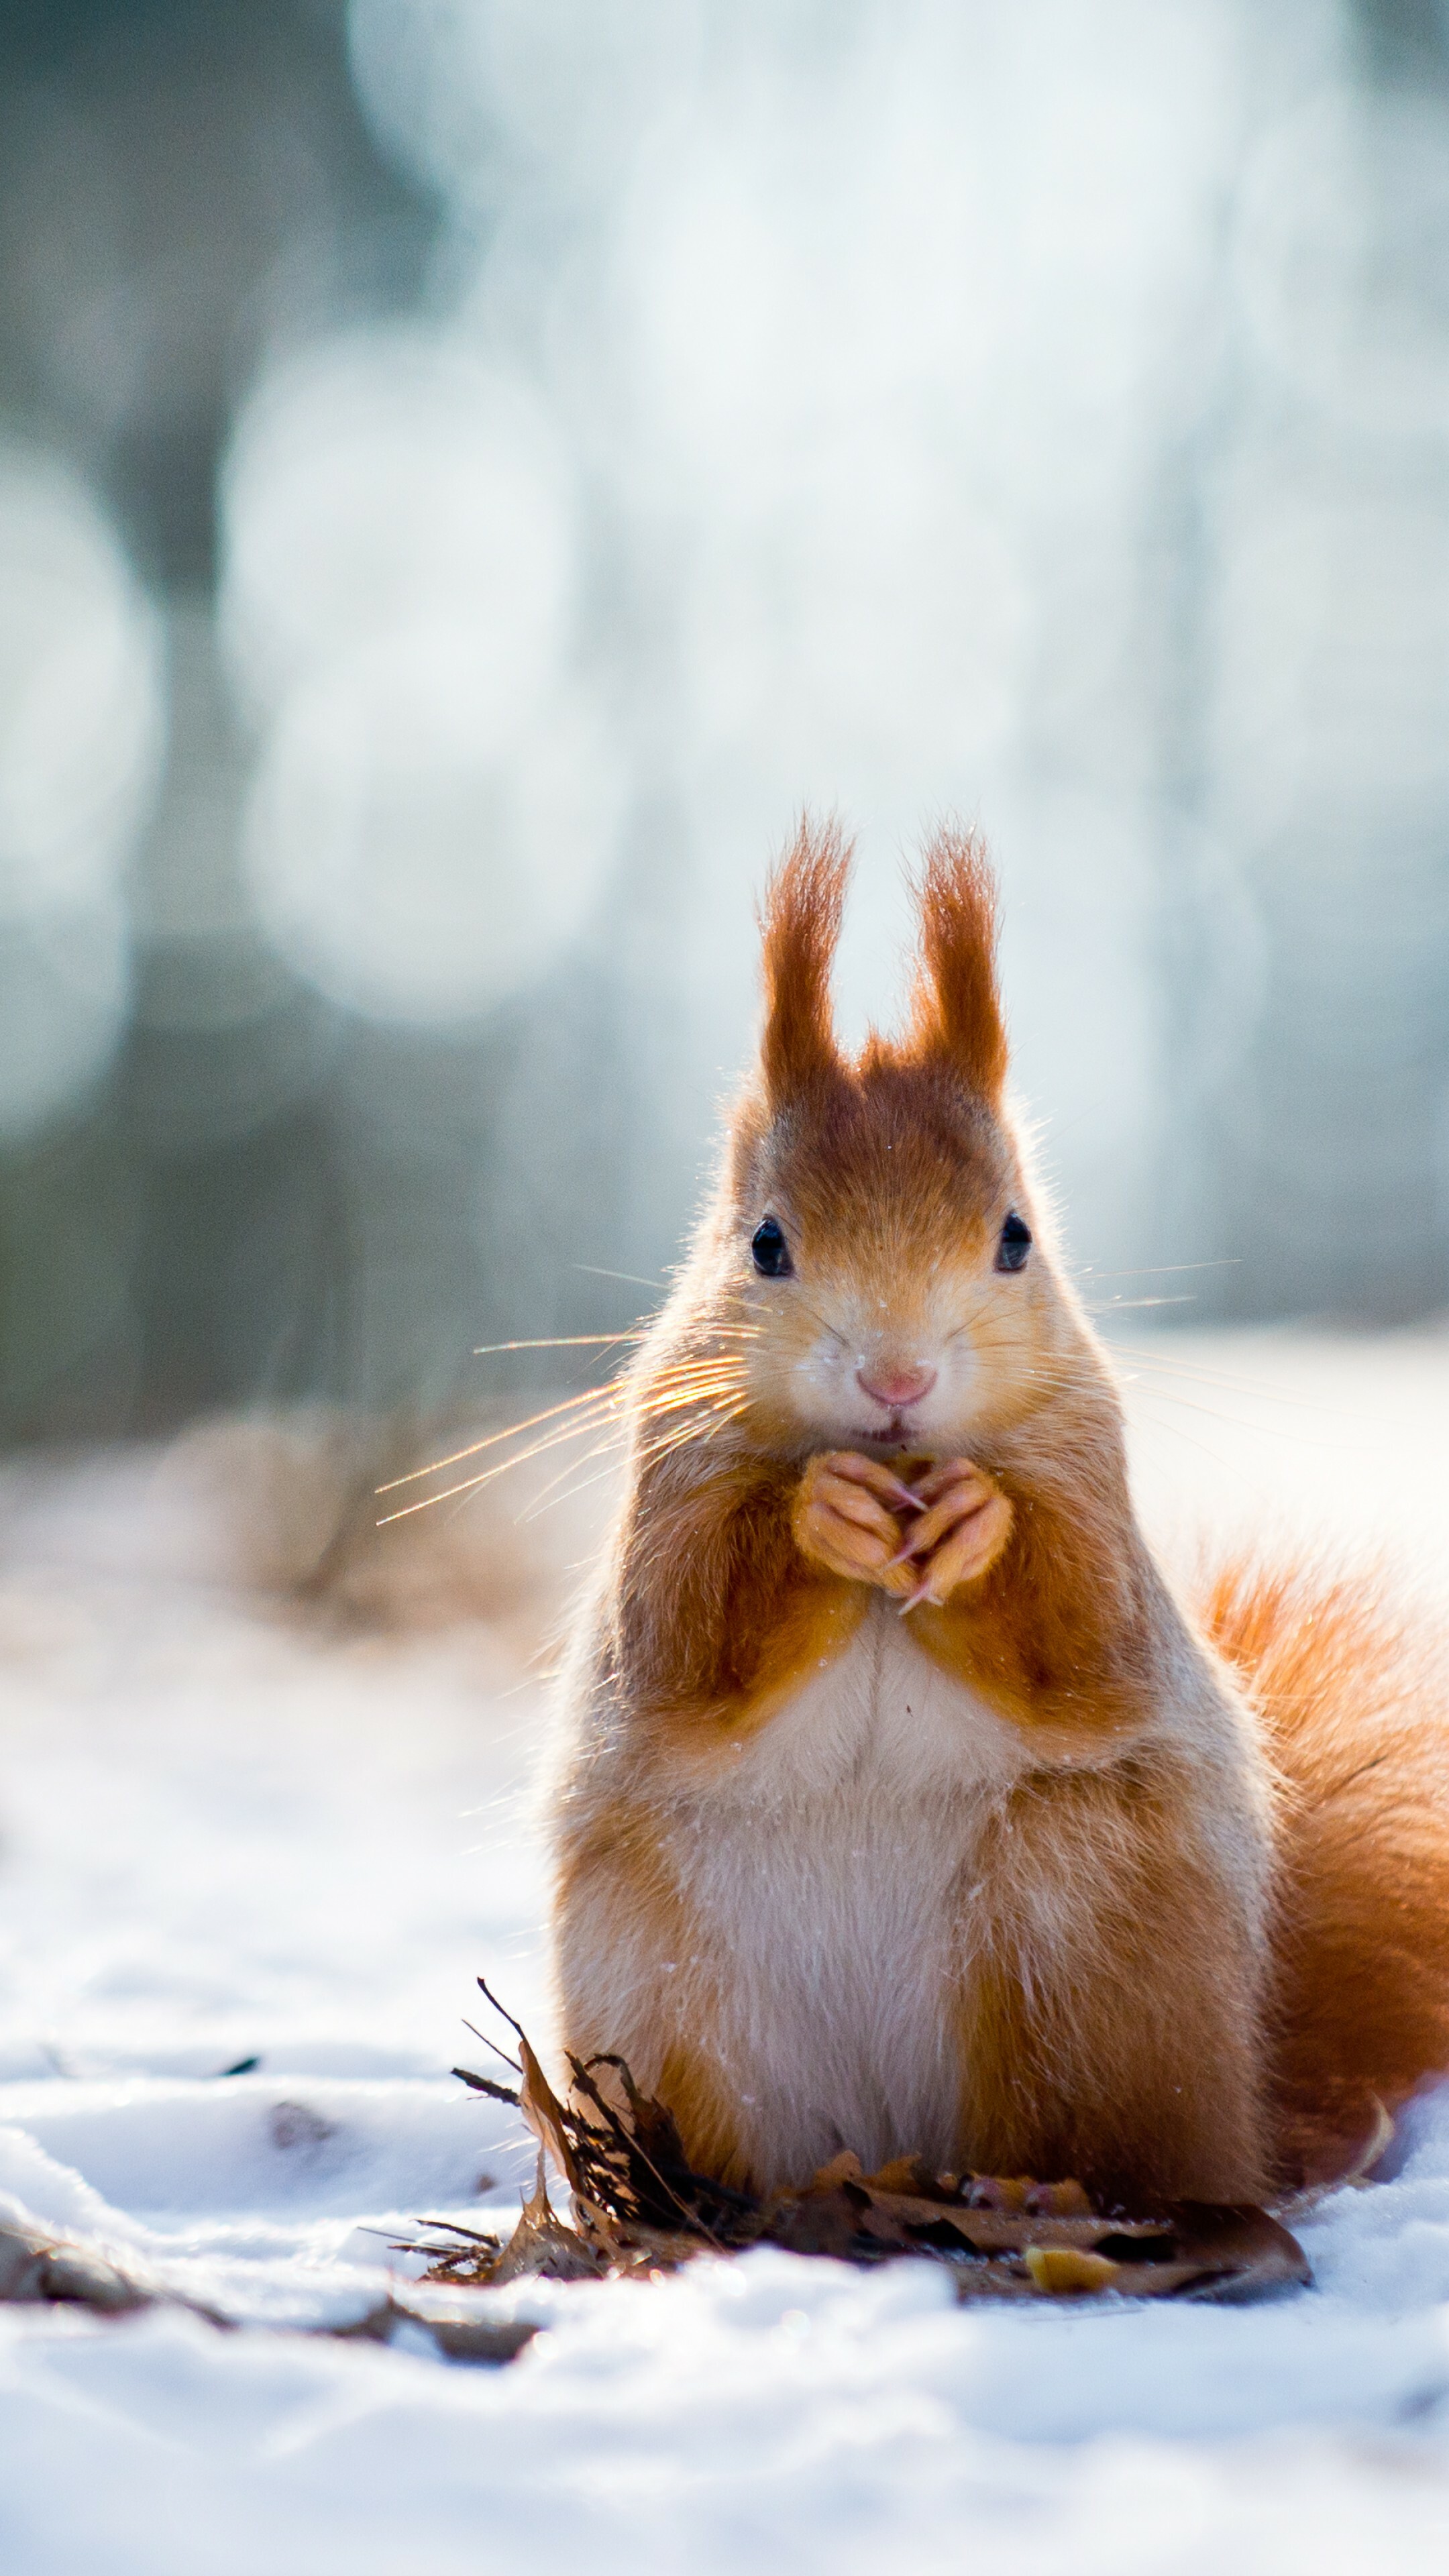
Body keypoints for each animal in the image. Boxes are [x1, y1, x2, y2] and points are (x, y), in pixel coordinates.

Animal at [543, 824, 1444, 2215]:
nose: (897, 1382)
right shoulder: (668, 1485)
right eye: (764, 1244)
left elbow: (1082, 1636)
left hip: (1077, 1939)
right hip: (661, 1986)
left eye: (1016, 1237)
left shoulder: (1094, 1488)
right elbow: (687, 1641)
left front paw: (980, 1526)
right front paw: (818, 1514)